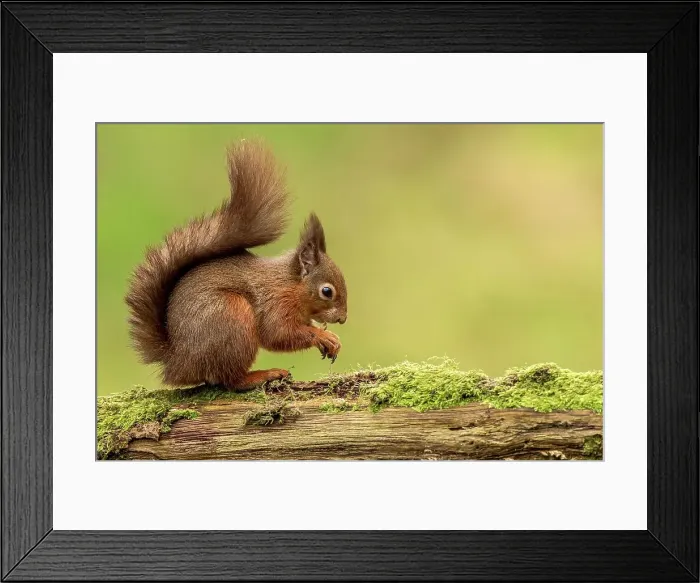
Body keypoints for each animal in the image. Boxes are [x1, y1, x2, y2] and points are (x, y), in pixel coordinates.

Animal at [124, 139, 347, 390]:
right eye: (327, 291)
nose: (343, 319)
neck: (290, 284)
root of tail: (178, 363)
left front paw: (332, 340)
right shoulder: (275, 303)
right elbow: (278, 334)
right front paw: (324, 336)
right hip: (233, 317)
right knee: (230, 379)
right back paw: (262, 375)